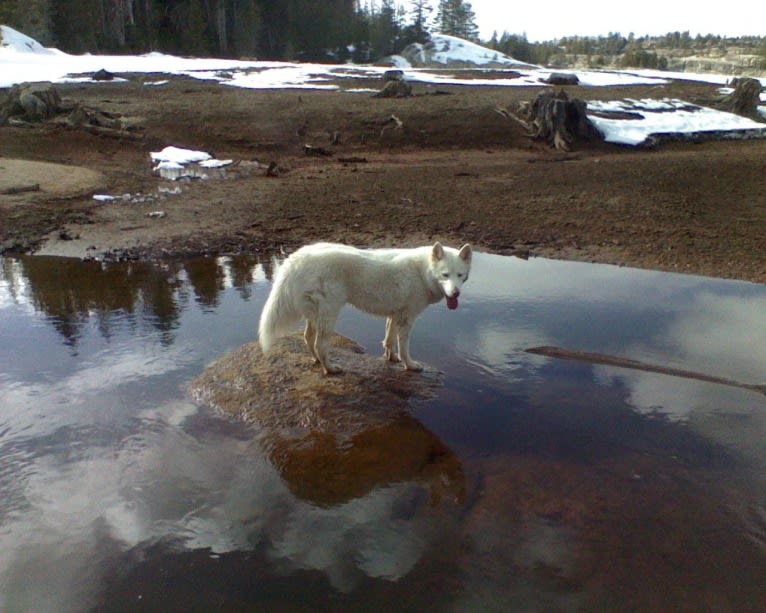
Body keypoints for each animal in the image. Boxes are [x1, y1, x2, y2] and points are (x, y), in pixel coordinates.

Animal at [260, 241, 472, 370]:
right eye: (445, 275)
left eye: (460, 275)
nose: (455, 293)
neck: (423, 272)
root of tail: (296, 258)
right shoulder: (407, 319)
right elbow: (404, 347)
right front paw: (410, 365)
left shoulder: (394, 315)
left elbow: (389, 340)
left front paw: (391, 358)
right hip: (330, 315)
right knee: (320, 345)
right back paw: (330, 369)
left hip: (316, 315)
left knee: (308, 338)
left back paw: (317, 362)